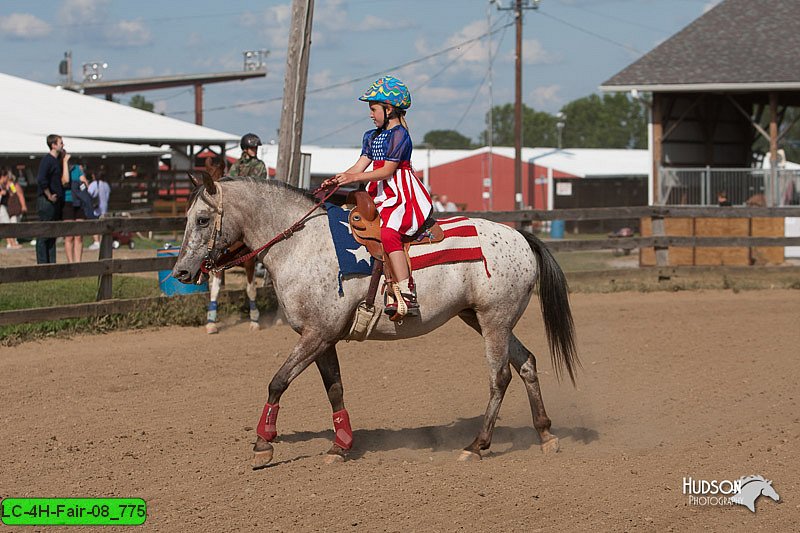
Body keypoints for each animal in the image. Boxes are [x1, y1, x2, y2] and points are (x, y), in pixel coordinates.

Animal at [172, 176, 580, 466]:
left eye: (203, 219)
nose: (181, 272)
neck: (303, 245)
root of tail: (521, 237)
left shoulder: (315, 335)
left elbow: (277, 382)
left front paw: (263, 443)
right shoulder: (323, 338)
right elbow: (335, 389)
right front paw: (341, 445)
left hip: (494, 322)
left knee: (500, 377)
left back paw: (477, 445)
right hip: (483, 319)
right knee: (527, 363)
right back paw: (545, 435)